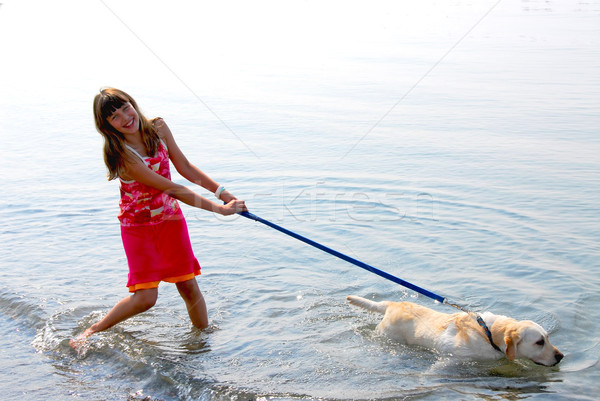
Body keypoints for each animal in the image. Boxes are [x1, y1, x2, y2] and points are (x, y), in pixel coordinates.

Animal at [346, 294, 564, 366]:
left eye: (548, 337)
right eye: (539, 342)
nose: (561, 356)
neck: (489, 335)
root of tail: (392, 304)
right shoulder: (453, 358)